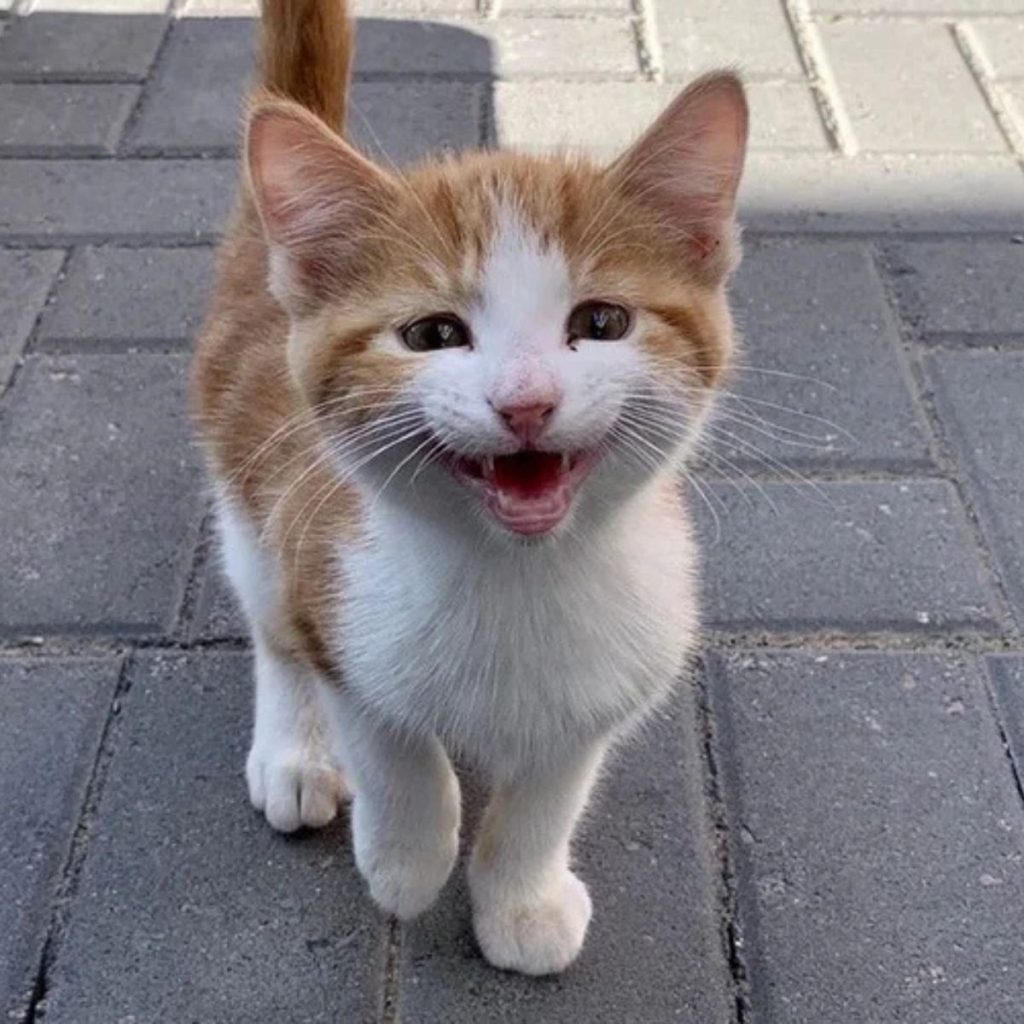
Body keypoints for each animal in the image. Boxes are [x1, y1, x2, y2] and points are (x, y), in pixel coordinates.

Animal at [192, 0, 749, 974]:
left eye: (602, 320)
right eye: (432, 334)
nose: (525, 401)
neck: (515, 577)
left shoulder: (613, 673)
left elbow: (549, 793)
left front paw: (520, 902)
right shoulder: (336, 598)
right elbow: (394, 749)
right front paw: (407, 861)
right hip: (250, 489)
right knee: (271, 622)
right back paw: (293, 752)